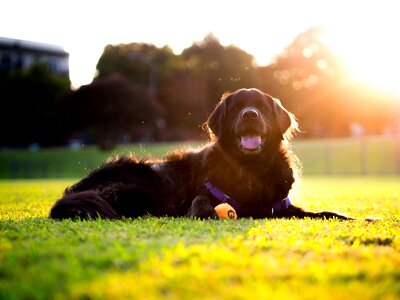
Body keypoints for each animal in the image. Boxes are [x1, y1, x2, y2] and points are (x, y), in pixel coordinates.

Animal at [49, 88, 350, 219]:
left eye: (263, 108)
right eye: (237, 107)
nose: (250, 115)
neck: (250, 170)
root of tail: (77, 188)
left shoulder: (280, 206)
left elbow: (325, 213)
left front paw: (354, 217)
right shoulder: (205, 194)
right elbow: (200, 201)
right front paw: (204, 212)